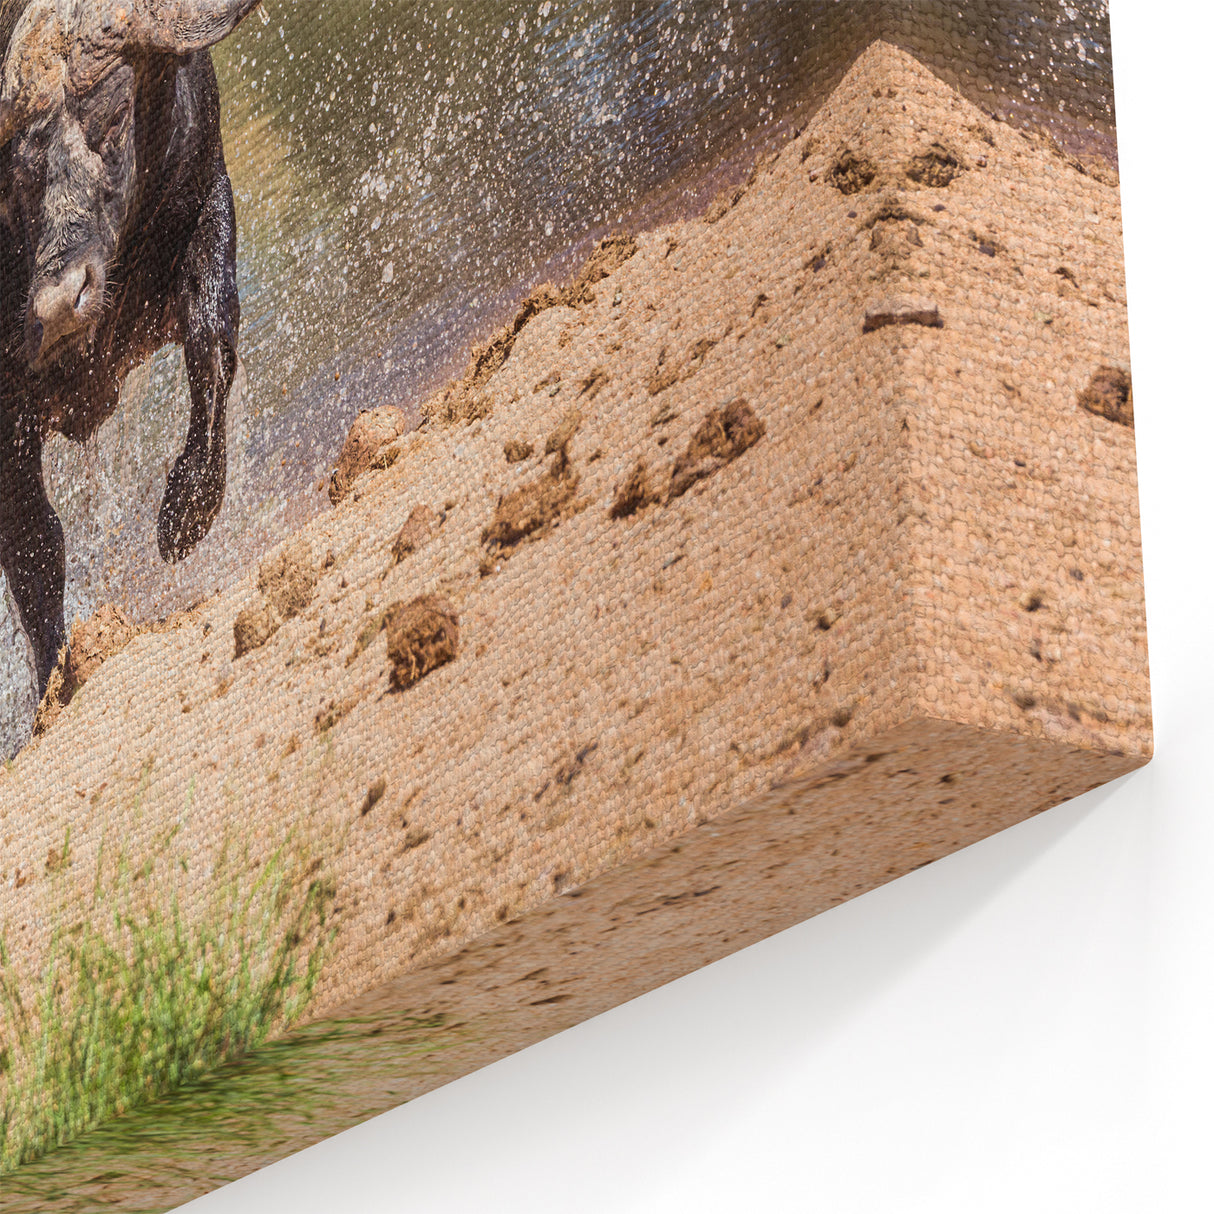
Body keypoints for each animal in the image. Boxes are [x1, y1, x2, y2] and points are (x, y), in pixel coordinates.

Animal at [0, 0, 261, 702]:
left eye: (115, 116)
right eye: (13, 180)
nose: (60, 304)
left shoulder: (205, 195)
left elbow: (212, 340)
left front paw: (187, 510)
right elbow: (34, 547)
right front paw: (57, 677)